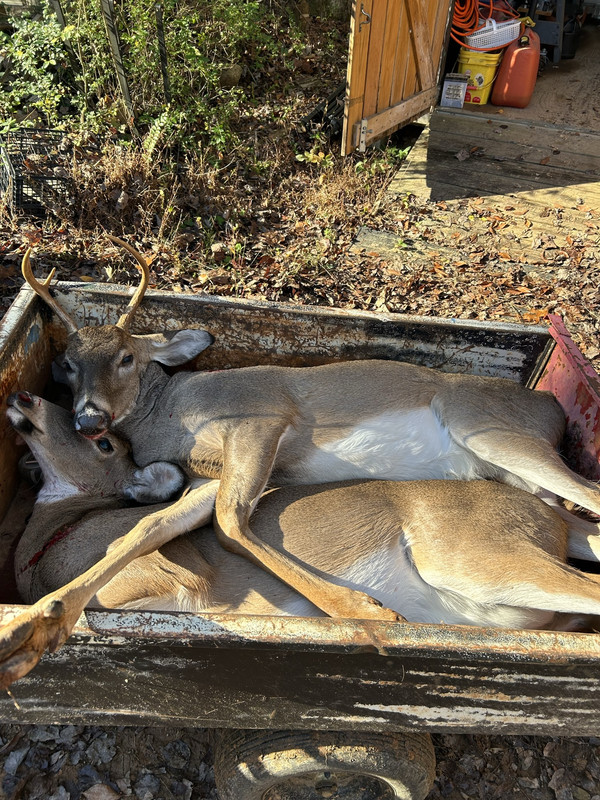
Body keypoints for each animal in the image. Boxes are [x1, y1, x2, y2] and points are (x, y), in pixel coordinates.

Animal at [2, 389, 600, 689]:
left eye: (102, 443)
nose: (24, 397)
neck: (51, 542)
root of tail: (550, 519)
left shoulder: (176, 570)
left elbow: (146, 531)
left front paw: (27, 631)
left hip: (474, 555)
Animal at [13, 238, 600, 626]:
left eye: (126, 357)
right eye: (67, 364)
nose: (89, 420)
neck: (172, 413)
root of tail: (549, 402)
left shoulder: (260, 419)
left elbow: (230, 520)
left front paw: (360, 608)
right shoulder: (204, 476)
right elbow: (154, 526)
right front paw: (39, 618)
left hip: (488, 431)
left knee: (586, 496)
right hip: (514, 477)